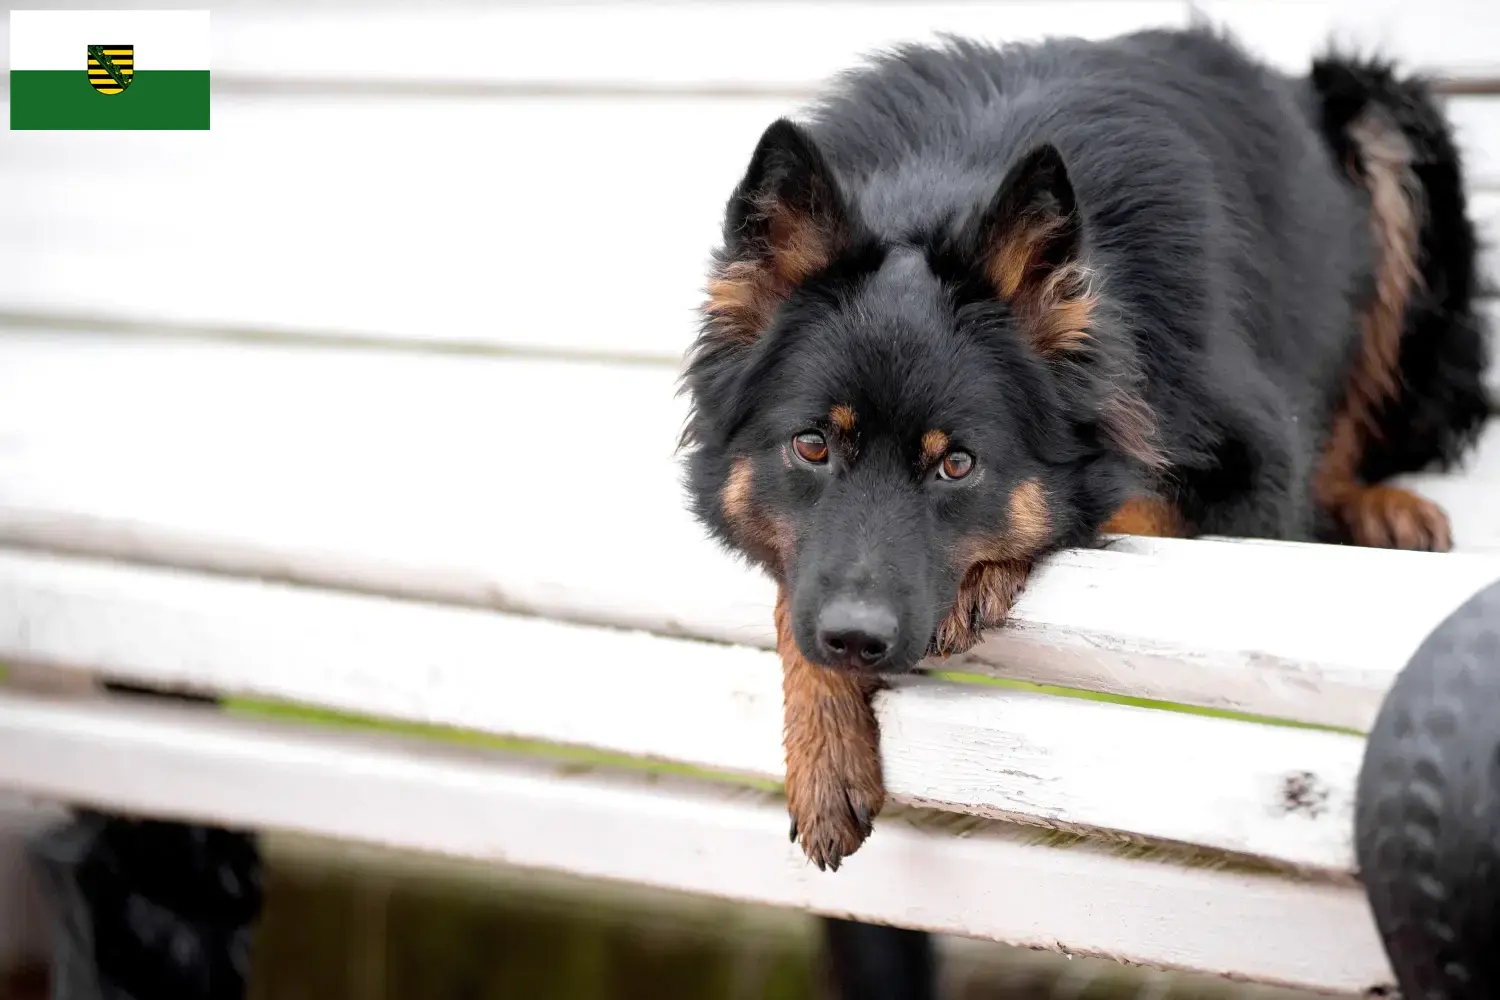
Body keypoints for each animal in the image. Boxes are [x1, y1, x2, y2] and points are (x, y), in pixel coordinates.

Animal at [687, 23, 1494, 869]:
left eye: (957, 464)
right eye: (812, 447)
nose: (856, 640)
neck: (947, 182)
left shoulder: (1256, 474)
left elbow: (1113, 500)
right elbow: (796, 588)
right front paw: (823, 752)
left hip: (1385, 119)